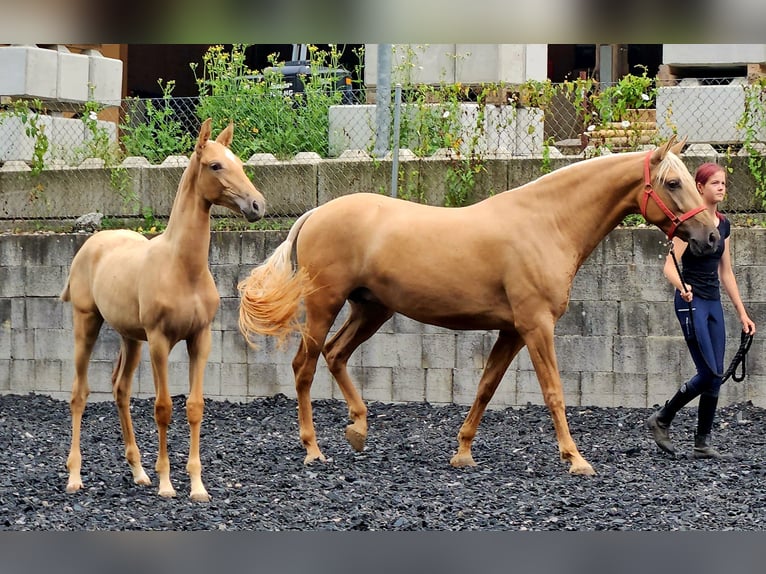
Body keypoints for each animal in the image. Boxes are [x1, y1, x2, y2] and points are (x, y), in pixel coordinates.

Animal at [60, 118, 264, 500]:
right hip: (87, 324)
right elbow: (163, 408)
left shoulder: (200, 339)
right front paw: (167, 484)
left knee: (120, 389)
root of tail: (92, 243)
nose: (257, 205)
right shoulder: (159, 341)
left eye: (240, 163)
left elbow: (195, 407)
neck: (183, 269)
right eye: (216, 165)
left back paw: (139, 471)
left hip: (130, 338)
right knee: (79, 394)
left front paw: (197, 486)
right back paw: (74, 476)